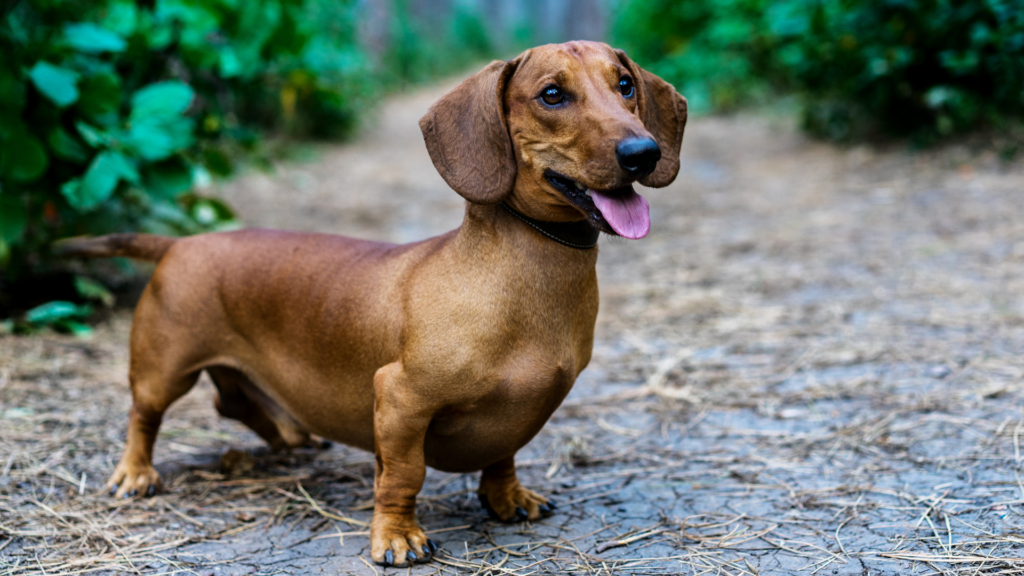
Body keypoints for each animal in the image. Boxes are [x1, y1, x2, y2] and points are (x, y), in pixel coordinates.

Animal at [64, 41, 688, 565]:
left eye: (625, 85)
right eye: (552, 94)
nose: (643, 152)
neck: (516, 276)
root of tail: (182, 242)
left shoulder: (518, 416)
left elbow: (503, 454)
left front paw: (508, 498)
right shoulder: (400, 398)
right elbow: (401, 476)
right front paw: (396, 537)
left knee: (233, 403)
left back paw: (290, 437)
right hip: (164, 369)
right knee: (144, 415)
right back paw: (135, 473)